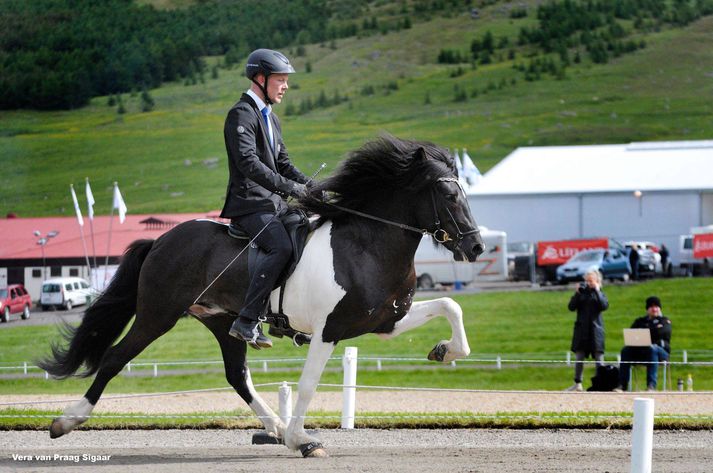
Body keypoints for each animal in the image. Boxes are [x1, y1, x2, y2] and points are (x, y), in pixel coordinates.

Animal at [39, 135, 484, 456]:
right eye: (449, 195)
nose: (476, 247)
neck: (367, 244)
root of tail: (162, 240)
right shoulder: (330, 330)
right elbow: (307, 385)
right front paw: (303, 441)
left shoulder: (387, 321)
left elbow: (451, 305)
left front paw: (446, 351)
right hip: (158, 314)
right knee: (115, 357)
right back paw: (67, 420)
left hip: (222, 321)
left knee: (237, 375)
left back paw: (274, 426)